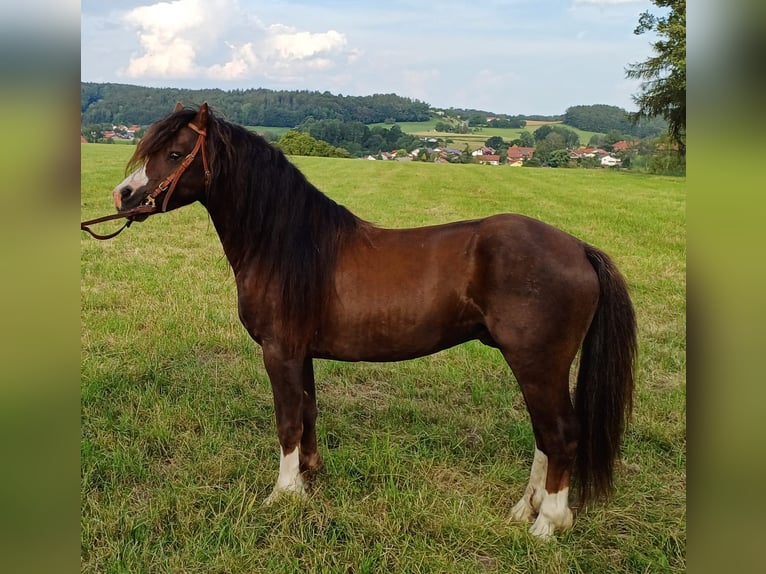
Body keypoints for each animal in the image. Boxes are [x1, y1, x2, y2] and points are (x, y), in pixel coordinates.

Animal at [108, 102, 636, 540]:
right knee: (546, 437)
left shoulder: (279, 351)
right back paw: (525, 510)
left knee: (561, 436)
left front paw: (283, 494)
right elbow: (308, 413)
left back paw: (548, 524)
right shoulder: (301, 354)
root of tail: (578, 248)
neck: (286, 245)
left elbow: (286, 421)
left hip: (537, 363)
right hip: (536, 367)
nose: (124, 196)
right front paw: (309, 476)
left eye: (176, 153)